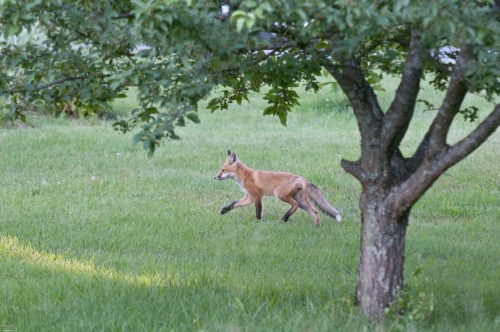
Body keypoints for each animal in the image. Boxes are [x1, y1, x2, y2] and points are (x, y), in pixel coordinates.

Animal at [213, 150, 342, 226]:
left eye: (223, 170)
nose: (215, 177)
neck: (244, 176)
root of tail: (301, 178)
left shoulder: (257, 196)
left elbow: (258, 212)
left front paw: (258, 222)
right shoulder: (249, 197)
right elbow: (234, 204)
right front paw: (224, 210)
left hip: (279, 194)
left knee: (295, 205)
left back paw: (285, 218)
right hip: (302, 201)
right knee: (315, 212)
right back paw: (316, 226)